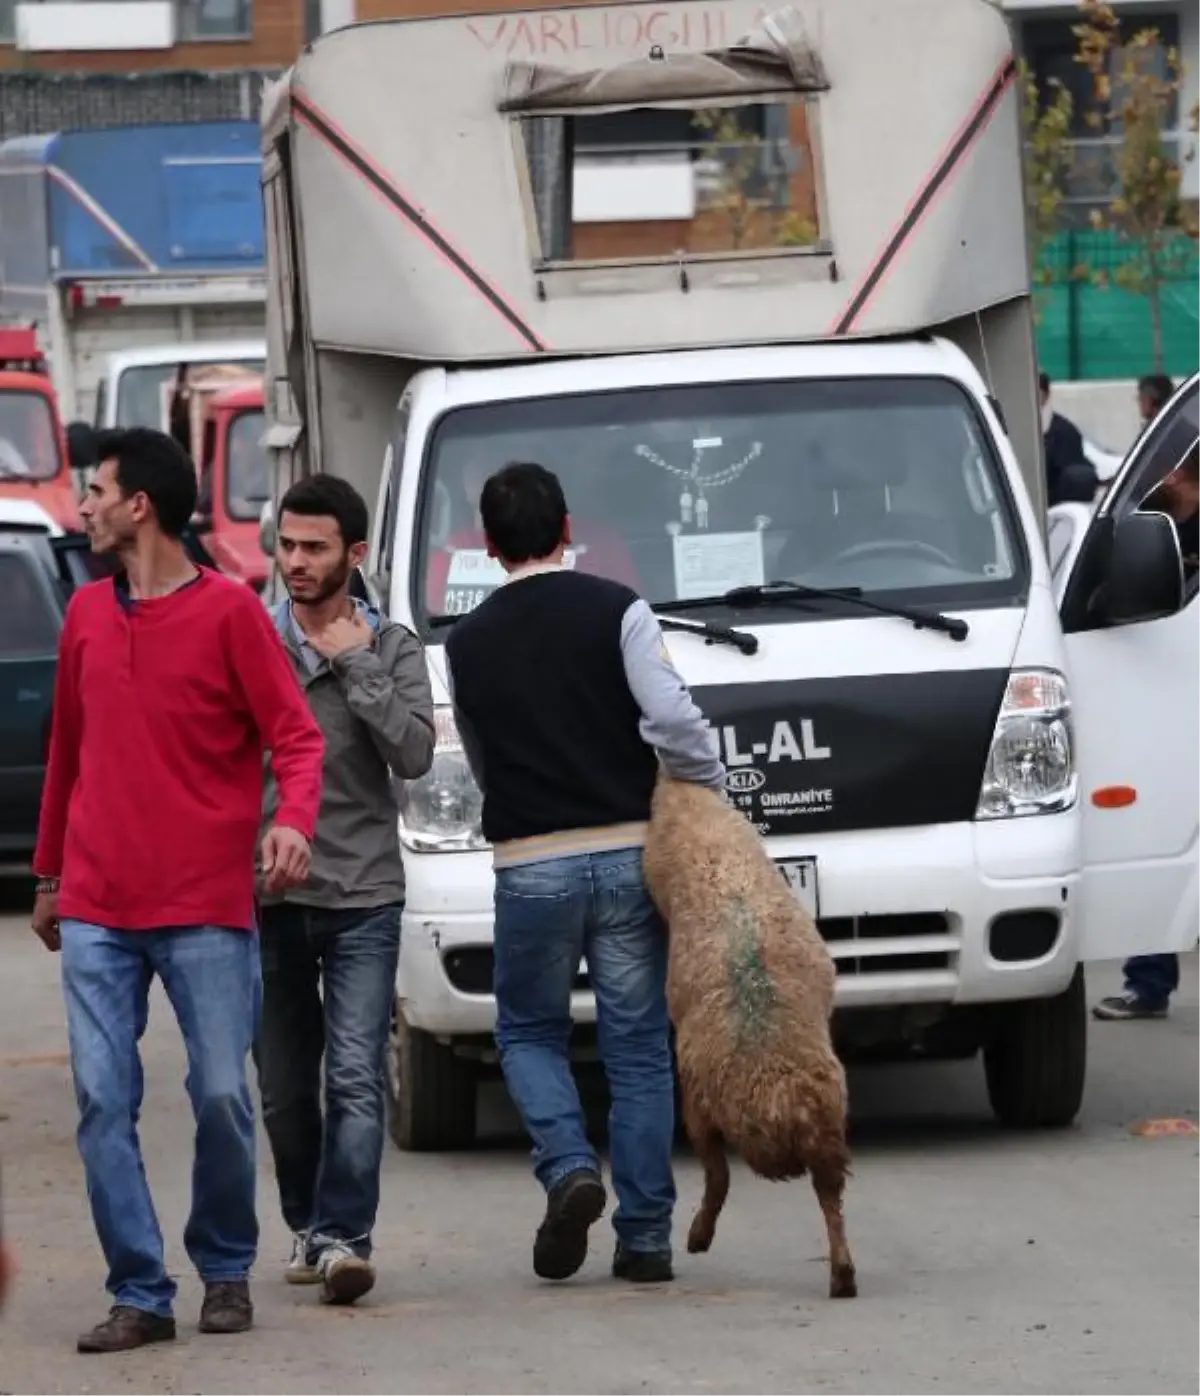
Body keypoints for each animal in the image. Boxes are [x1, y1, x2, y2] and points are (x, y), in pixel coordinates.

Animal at [647, 776, 853, 1295]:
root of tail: (792, 1102)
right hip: (828, 1132)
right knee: (830, 1198)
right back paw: (843, 1276)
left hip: (703, 1106)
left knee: (718, 1176)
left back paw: (698, 1237)